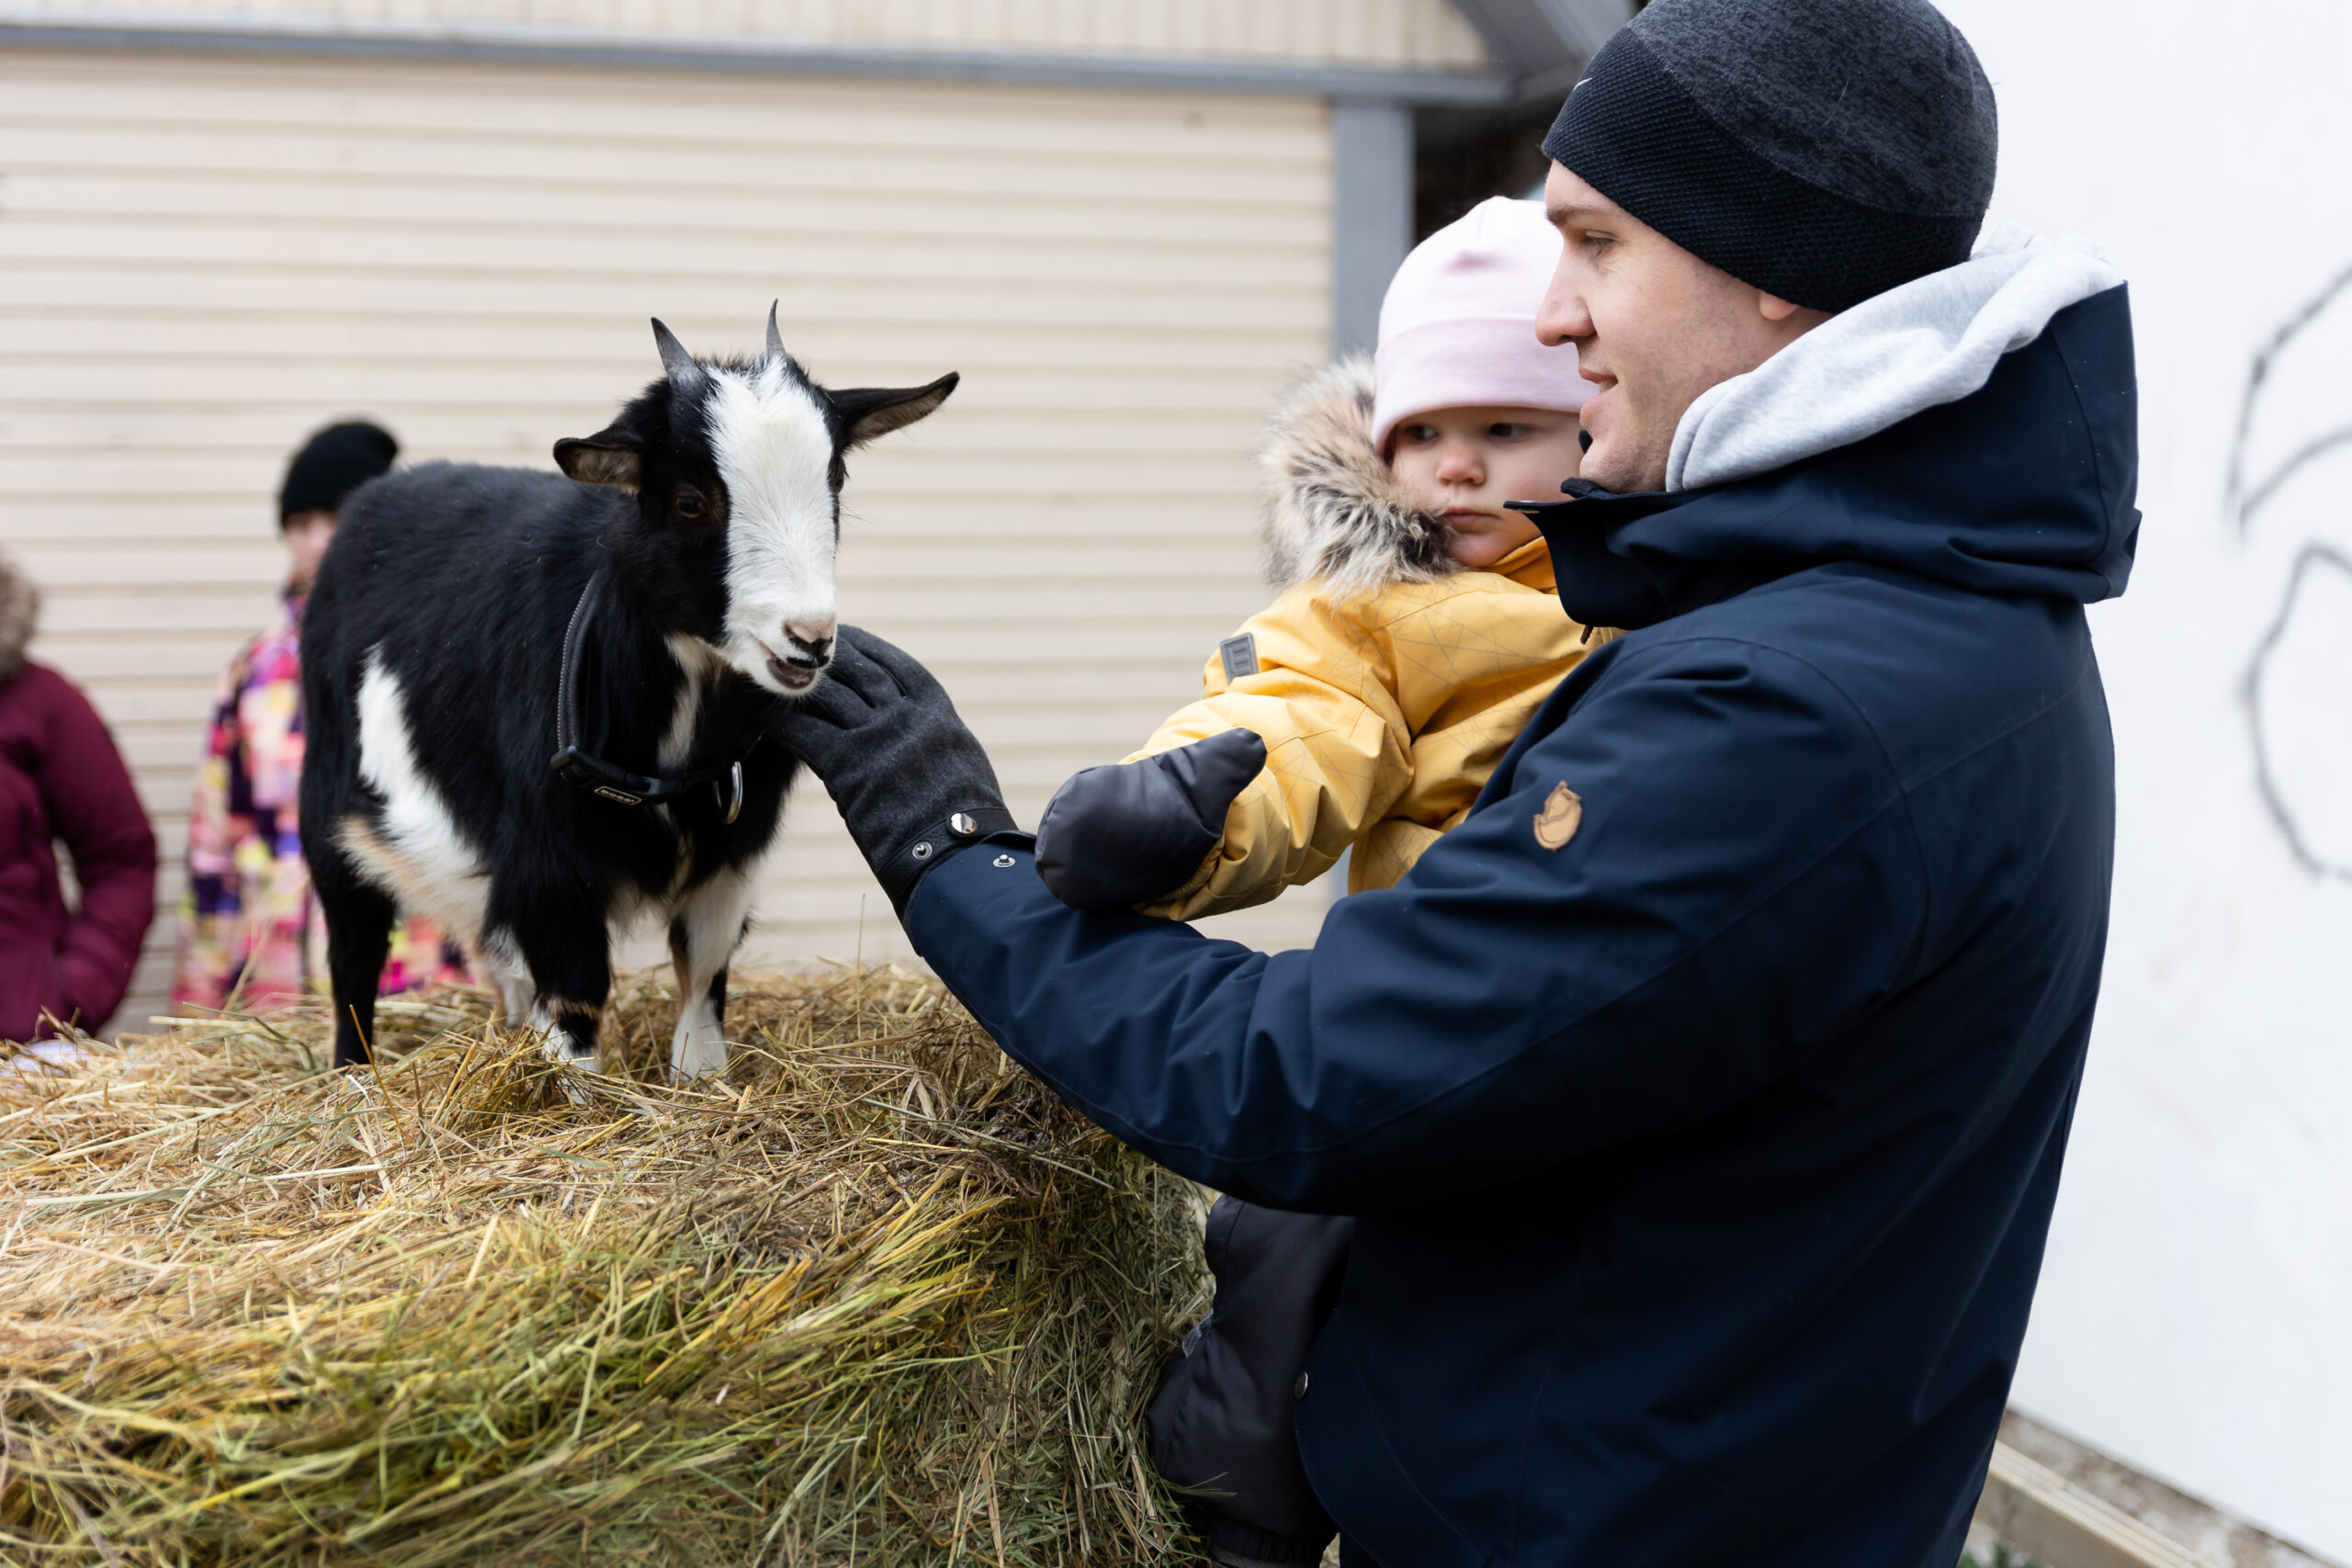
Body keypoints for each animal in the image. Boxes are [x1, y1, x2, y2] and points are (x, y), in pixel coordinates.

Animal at [299, 320, 950, 1081]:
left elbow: (702, 976)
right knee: (354, 949)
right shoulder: (547, 864)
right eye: (692, 500)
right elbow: (577, 996)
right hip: (331, 821)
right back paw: (354, 1077)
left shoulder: (730, 859)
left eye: (835, 480)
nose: (810, 639)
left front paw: (701, 1082)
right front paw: (579, 1094)